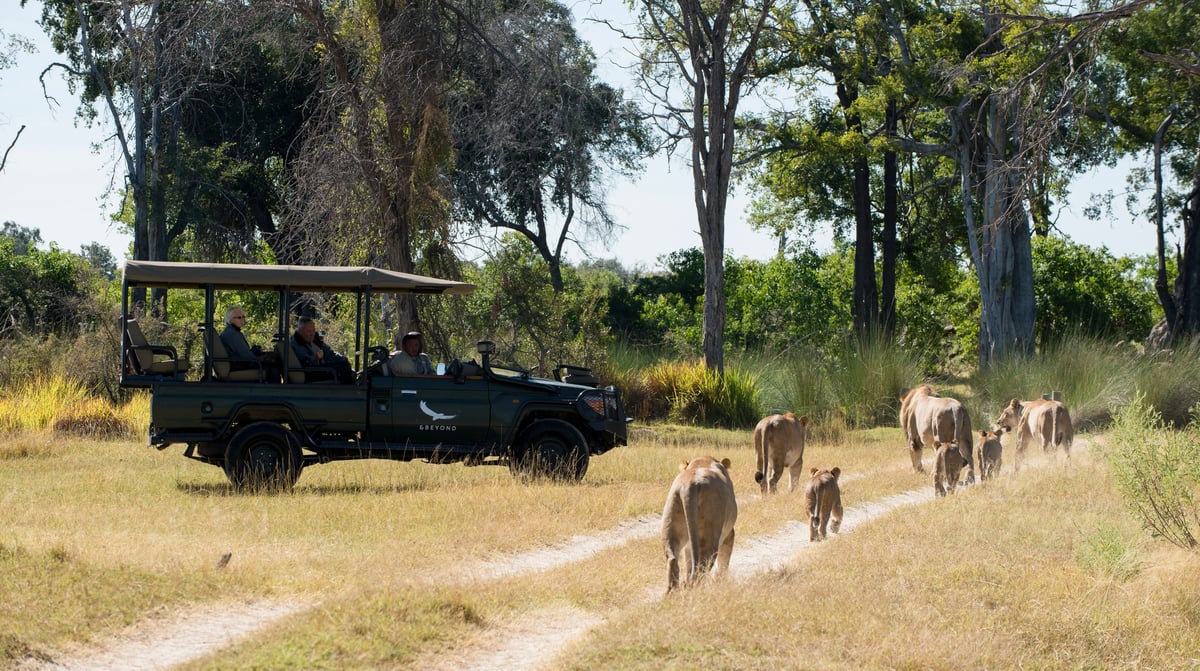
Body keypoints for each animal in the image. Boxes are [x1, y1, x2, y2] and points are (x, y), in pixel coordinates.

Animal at [662, 456, 734, 592]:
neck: (703, 460)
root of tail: (690, 485)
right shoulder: (729, 532)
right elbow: (724, 560)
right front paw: (721, 581)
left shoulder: (688, 546)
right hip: (710, 533)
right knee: (702, 566)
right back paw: (697, 590)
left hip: (671, 518)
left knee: (673, 559)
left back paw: (671, 592)